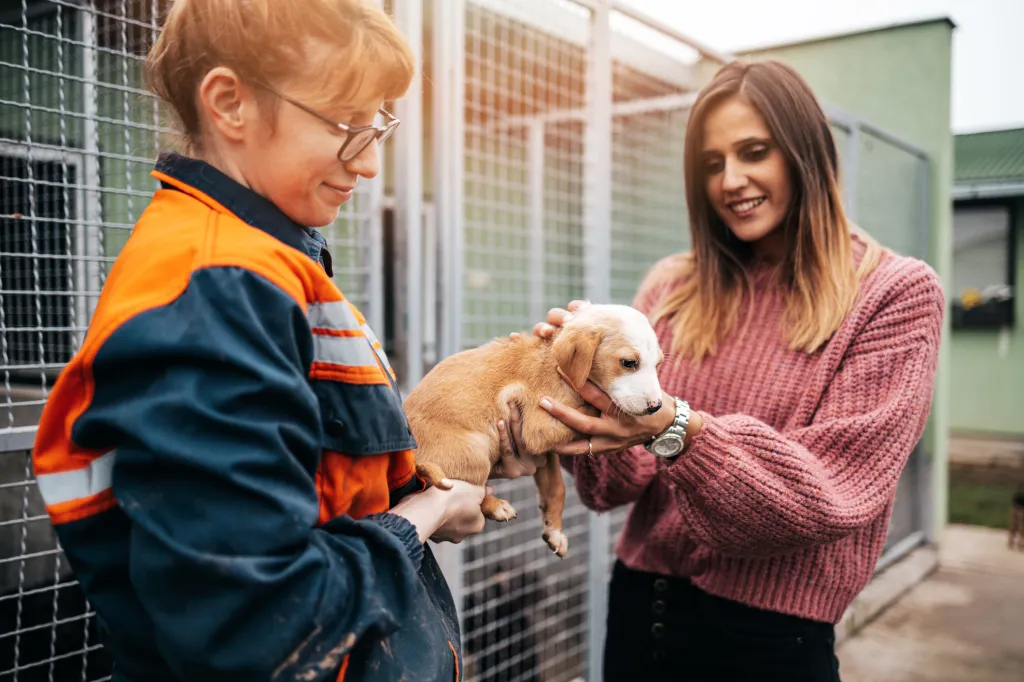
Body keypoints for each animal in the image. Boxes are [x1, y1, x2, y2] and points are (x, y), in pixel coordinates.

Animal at [401, 301, 663, 557]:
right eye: (629, 363)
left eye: (658, 364)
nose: (657, 407)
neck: (557, 366)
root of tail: (415, 461)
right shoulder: (540, 426)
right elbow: (593, 410)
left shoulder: (543, 450)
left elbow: (556, 486)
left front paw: (554, 530)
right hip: (476, 450)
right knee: (466, 490)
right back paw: (495, 506)